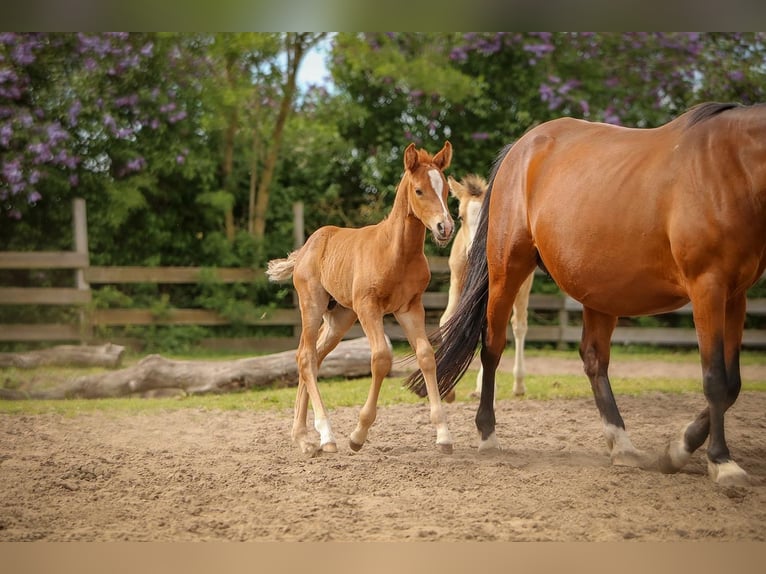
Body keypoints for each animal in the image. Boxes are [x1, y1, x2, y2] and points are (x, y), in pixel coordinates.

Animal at [267, 141, 455, 457]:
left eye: (446, 190)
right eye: (419, 190)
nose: (445, 228)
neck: (396, 252)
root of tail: (305, 248)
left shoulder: (410, 308)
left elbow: (427, 356)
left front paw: (443, 434)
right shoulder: (370, 307)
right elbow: (380, 358)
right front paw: (358, 434)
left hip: (340, 317)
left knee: (312, 357)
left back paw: (303, 437)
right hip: (313, 305)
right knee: (306, 356)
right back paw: (326, 436)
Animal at [440, 174, 533, 401]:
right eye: (460, 217)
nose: (473, 252)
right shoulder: (457, 284)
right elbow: (447, 319)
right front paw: (448, 390)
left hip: (521, 285)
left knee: (518, 325)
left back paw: (517, 384)